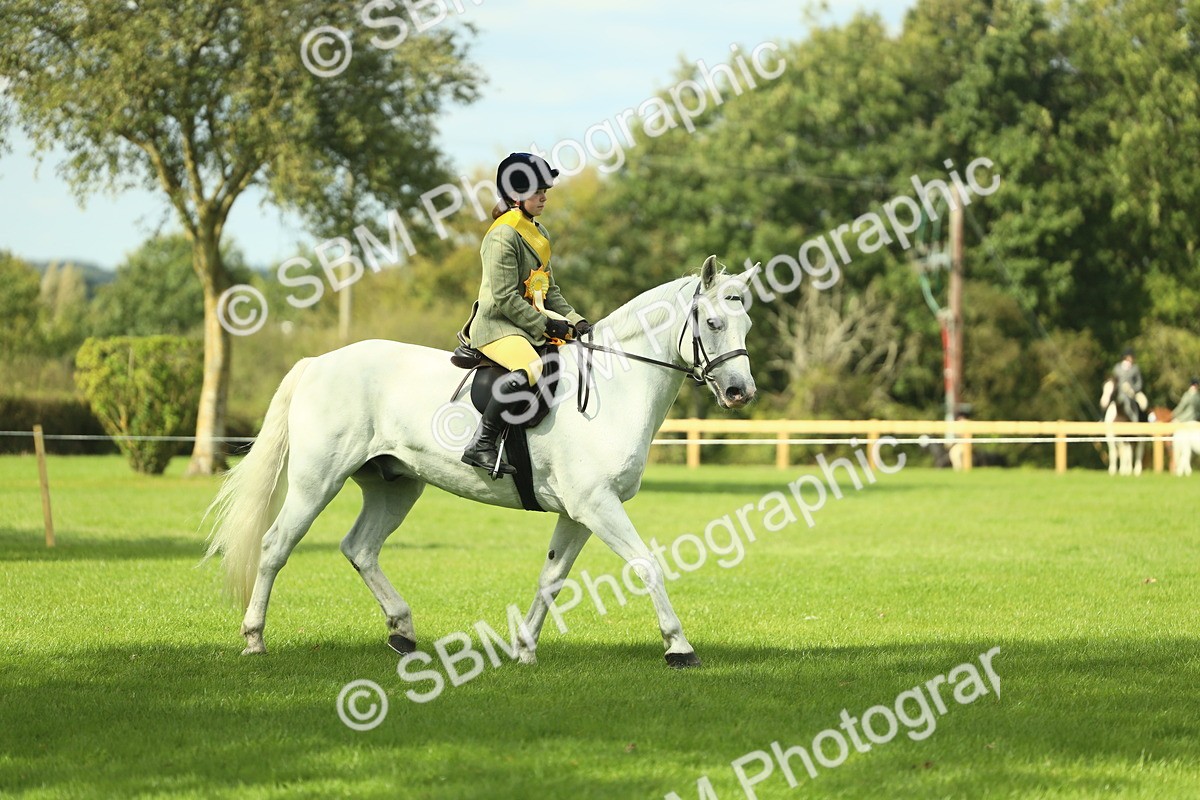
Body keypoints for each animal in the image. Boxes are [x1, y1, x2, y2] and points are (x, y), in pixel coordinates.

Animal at [204, 257, 759, 668]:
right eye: (713, 323)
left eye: (747, 322)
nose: (741, 392)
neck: (612, 387)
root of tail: (318, 363)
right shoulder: (597, 506)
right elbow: (647, 564)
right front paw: (679, 646)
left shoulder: (580, 513)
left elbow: (551, 577)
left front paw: (524, 649)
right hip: (316, 482)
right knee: (276, 546)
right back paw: (254, 638)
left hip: (395, 485)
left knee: (359, 547)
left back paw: (402, 632)